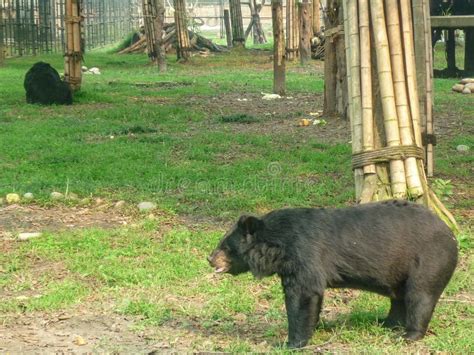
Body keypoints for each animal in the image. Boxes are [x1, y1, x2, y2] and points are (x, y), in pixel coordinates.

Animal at [208, 202, 460, 350]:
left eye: (225, 247)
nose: (210, 259)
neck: (276, 248)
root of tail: (451, 234)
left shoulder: (304, 253)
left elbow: (303, 295)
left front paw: (290, 343)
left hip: (428, 260)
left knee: (420, 296)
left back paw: (409, 334)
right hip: (398, 270)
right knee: (398, 298)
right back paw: (388, 323)